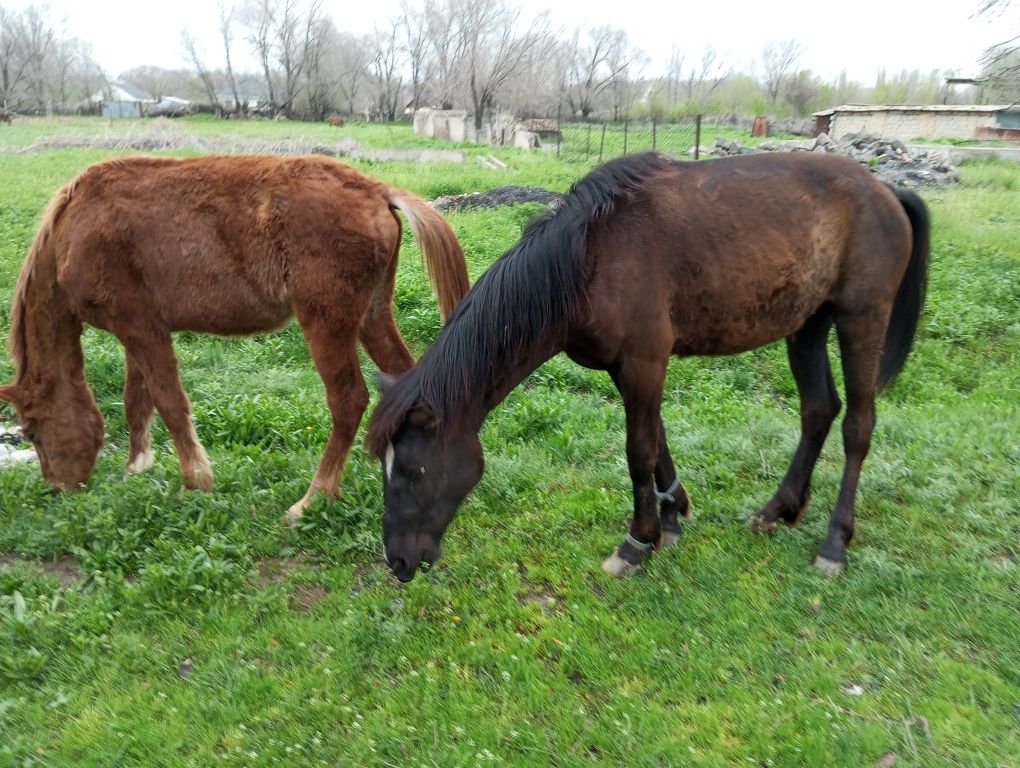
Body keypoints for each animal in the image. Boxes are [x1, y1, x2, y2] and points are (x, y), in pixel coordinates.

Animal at [0, 152, 469, 518]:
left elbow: (170, 403)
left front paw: (195, 481)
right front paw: (138, 467)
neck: (74, 229)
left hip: (327, 323)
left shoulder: (141, 329)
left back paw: (313, 499)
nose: (59, 487)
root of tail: (377, 191)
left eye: (33, 430)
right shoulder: (138, 330)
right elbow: (138, 400)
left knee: (349, 401)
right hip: (373, 317)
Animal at [369, 149, 934, 579]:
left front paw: (637, 542)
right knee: (818, 410)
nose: (398, 562)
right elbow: (657, 441)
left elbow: (638, 451)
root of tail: (885, 190)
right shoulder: (628, 367)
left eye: (414, 471)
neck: (587, 259)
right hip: (809, 323)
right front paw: (673, 516)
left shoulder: (644, 362)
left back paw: (835, 543)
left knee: (858, 425)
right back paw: (778, 510)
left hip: (862, 318)